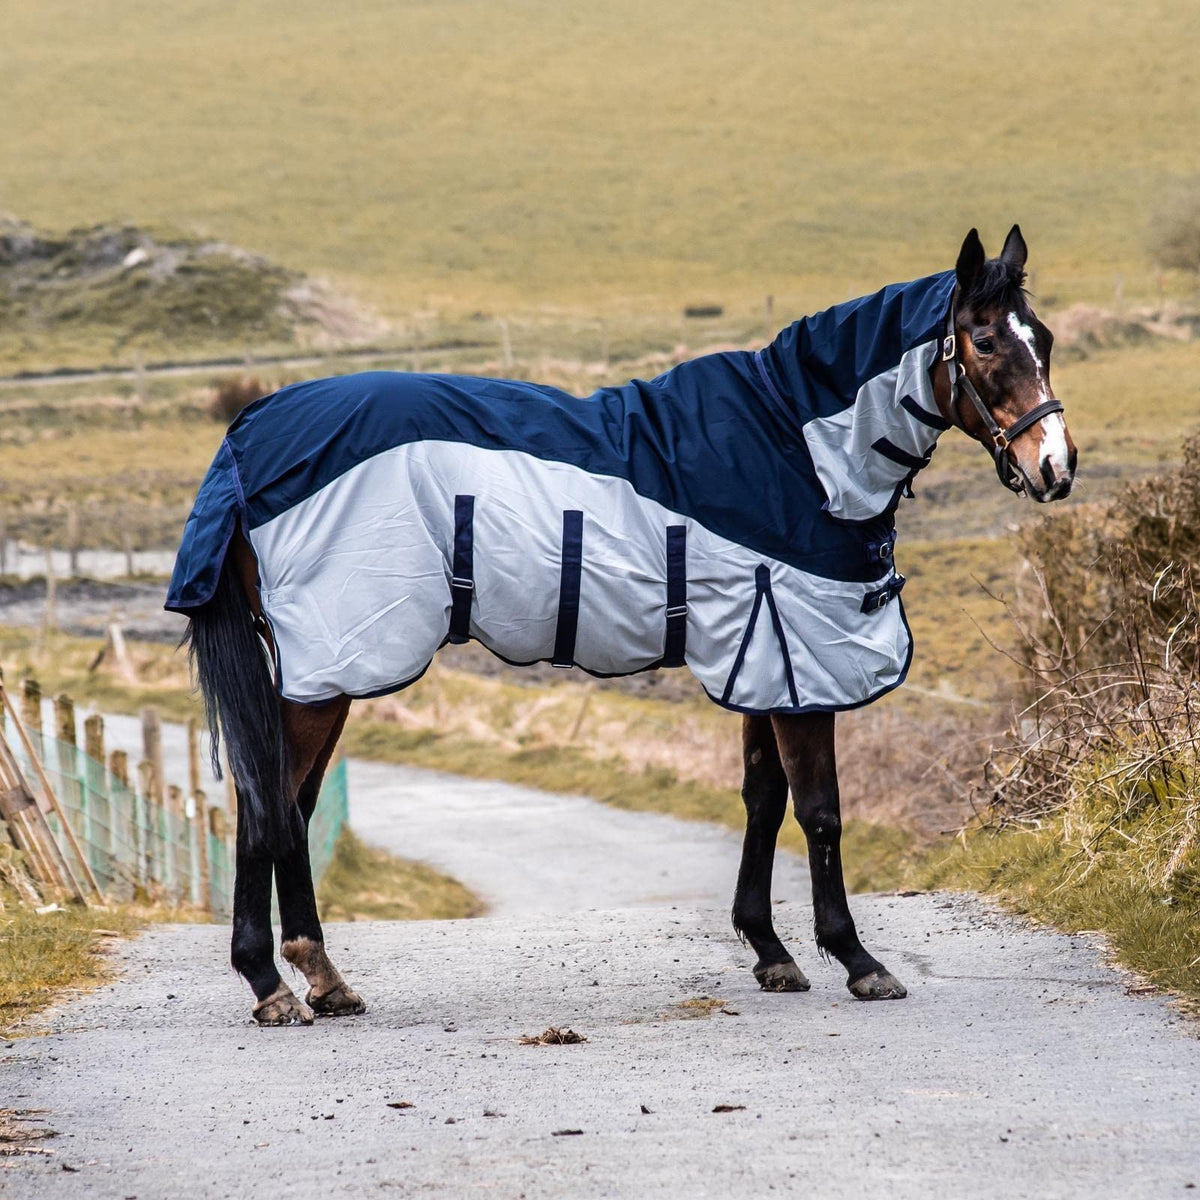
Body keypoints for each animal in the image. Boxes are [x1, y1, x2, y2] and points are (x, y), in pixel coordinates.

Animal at [169, 225, 1075, 1024]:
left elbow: (762, 799)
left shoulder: (762, 656)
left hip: (328, 670)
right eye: (985, 342)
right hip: (328, 669)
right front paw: (857, 959)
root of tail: (247, 436)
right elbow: (819, 811)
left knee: (293, 805)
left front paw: (769, 951)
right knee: (266, 803)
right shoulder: (799, 662)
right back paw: (270, 985)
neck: (797, 450)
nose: (1057, 469)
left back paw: (323, 980)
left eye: (1044, 338)